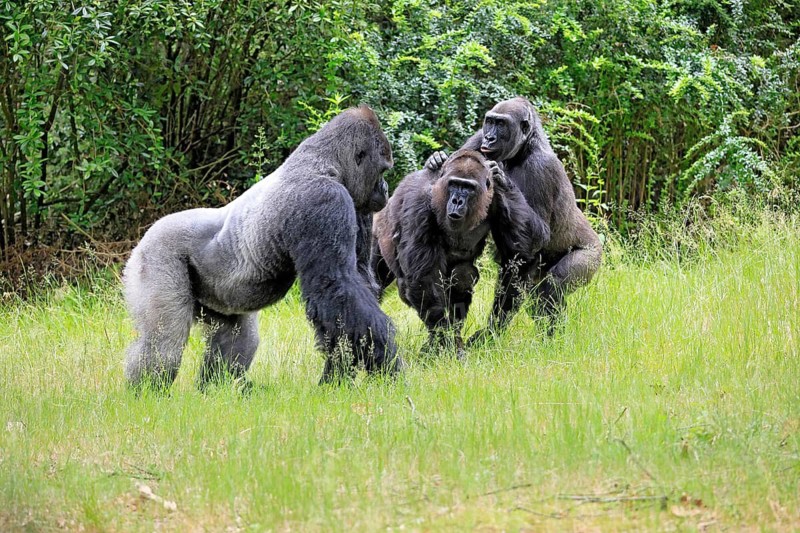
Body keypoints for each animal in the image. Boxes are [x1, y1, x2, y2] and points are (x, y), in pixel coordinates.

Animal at [122, 105, 403, 390]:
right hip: (156, 253)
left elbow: (354, 287)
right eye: (383, 171)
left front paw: (340, 372)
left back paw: (217, 390)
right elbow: (336, 286)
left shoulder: (358, 206)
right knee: (164, 343)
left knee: (238, 338)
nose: (385, 189)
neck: (325, 162)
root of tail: (147, 234)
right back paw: (147, 393)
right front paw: (384, 360)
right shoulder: (324, 199)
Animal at [372, 149, 548, 356]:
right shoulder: (419, 201)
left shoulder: (497, 199)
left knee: (463, 274)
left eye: (468, 187)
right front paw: (443, 342)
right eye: (454, 184)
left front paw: (491, 330)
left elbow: (520, 256)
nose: (457, 201)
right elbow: (424, 279)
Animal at [426, 97, 602, 339]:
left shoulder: (542, 168)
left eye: (501, 124)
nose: (490, 138)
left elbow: (537, 237)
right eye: (490, 122)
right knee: (536, 298)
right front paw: (436, 160)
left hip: (592, 255)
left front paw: (500, 178)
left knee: (552, 287)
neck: (523, 149)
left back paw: (552, 340)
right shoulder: (478, 140)